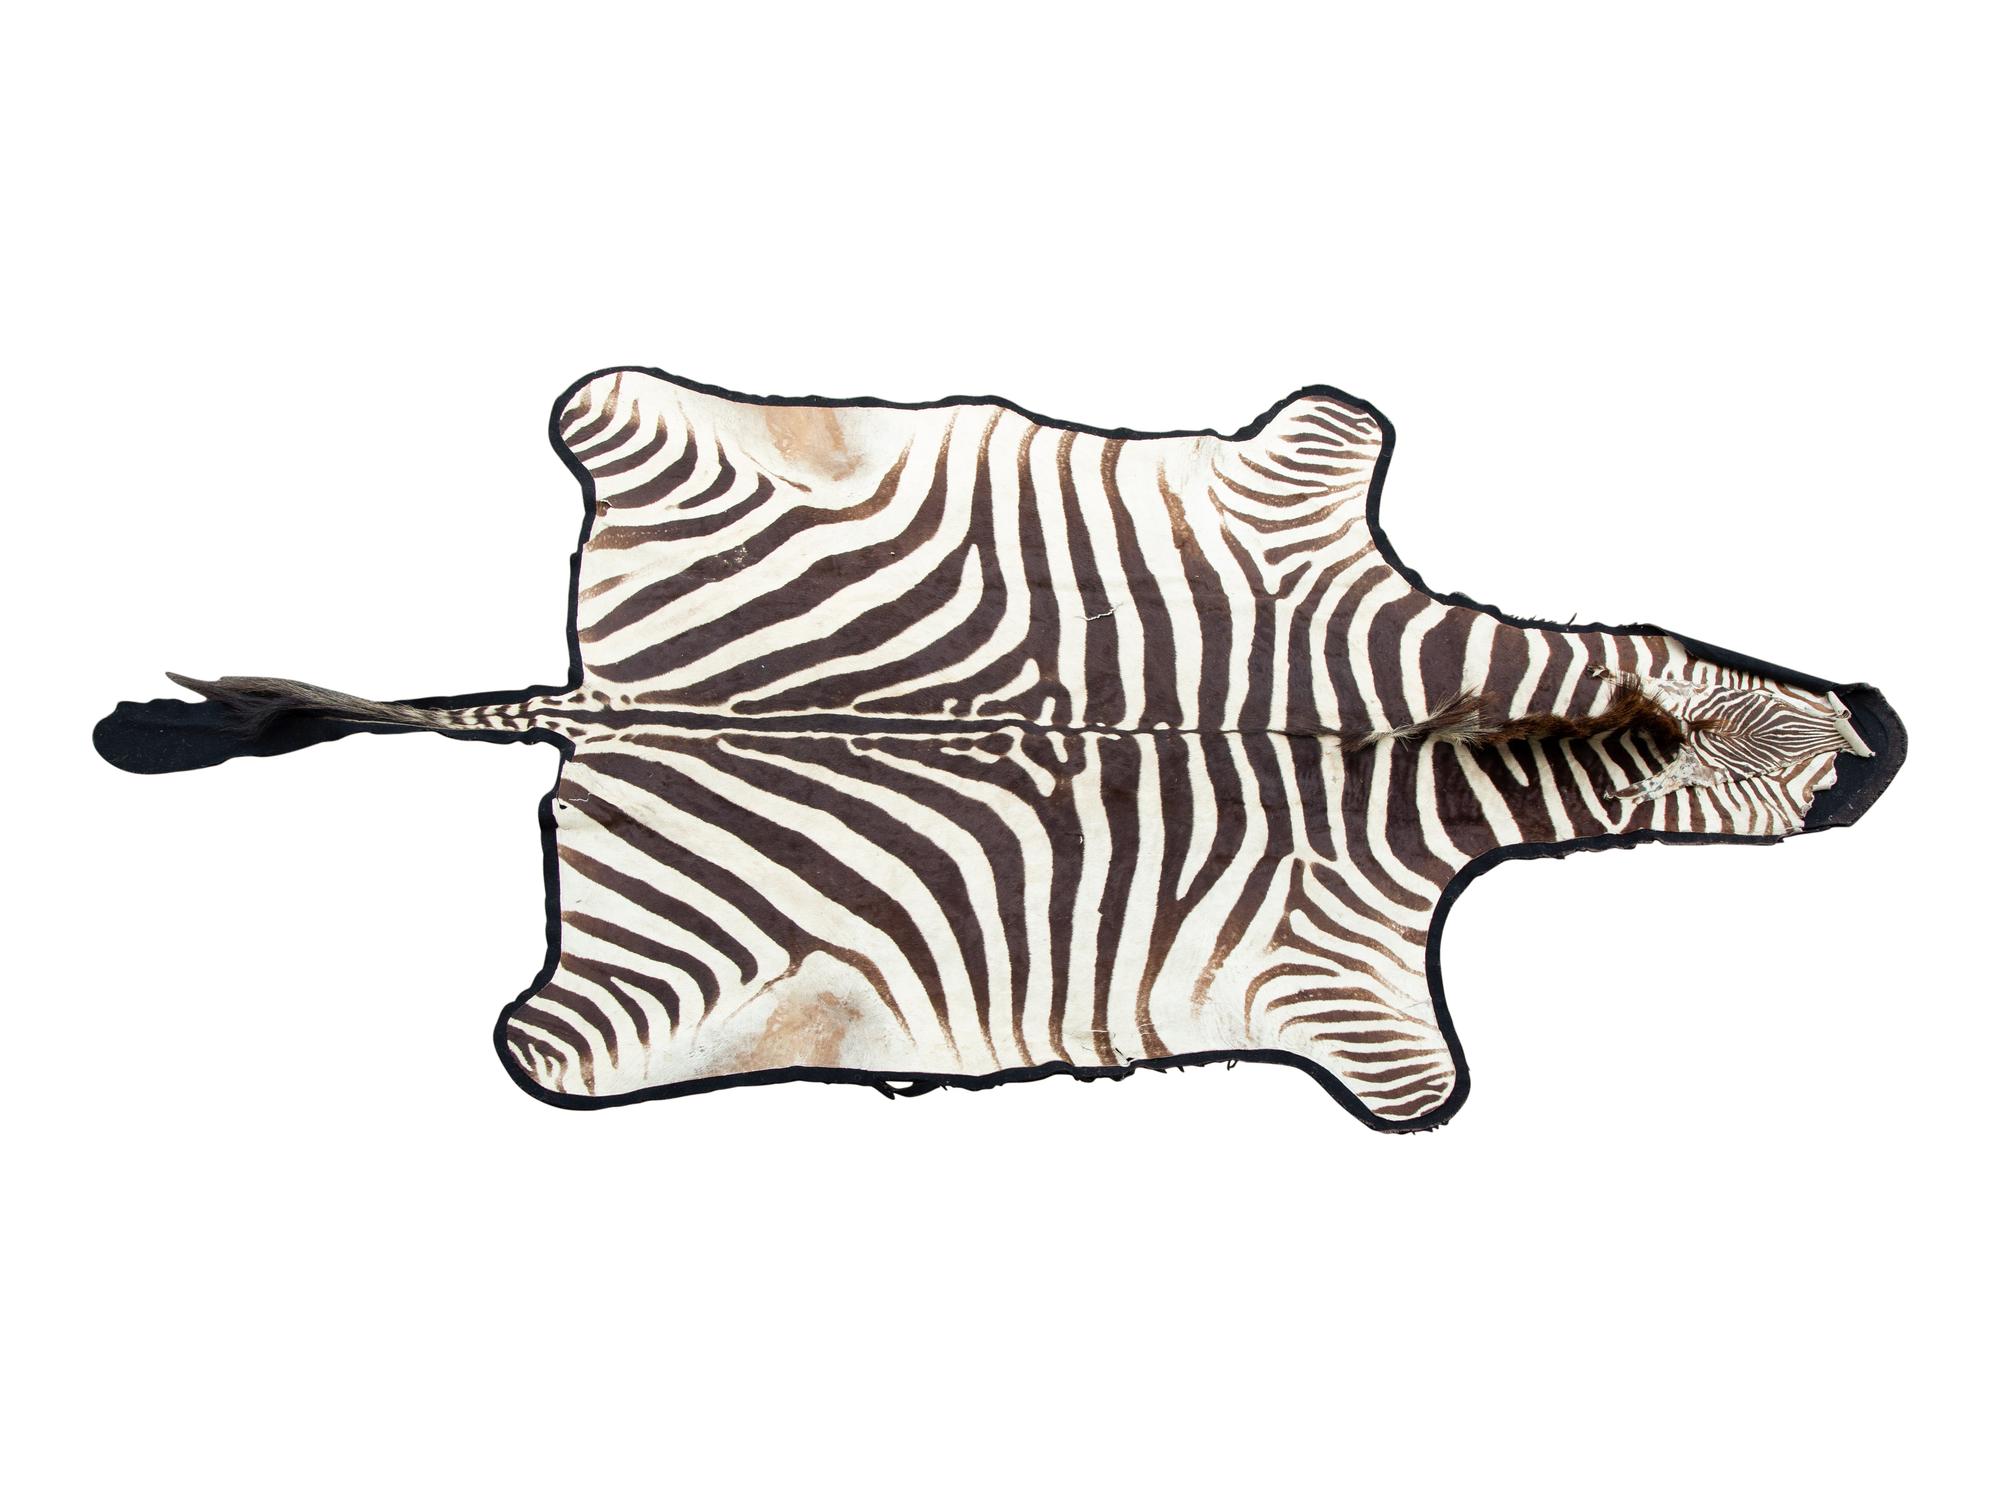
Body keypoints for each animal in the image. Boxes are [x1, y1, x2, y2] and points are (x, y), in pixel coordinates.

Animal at [96, 367, 1904, 1130]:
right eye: (1704, 759)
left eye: (1700, 657)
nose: (1883, 735)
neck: (1429, 738)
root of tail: (605, 702)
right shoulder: (1353, 973)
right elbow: (1420, 1078)